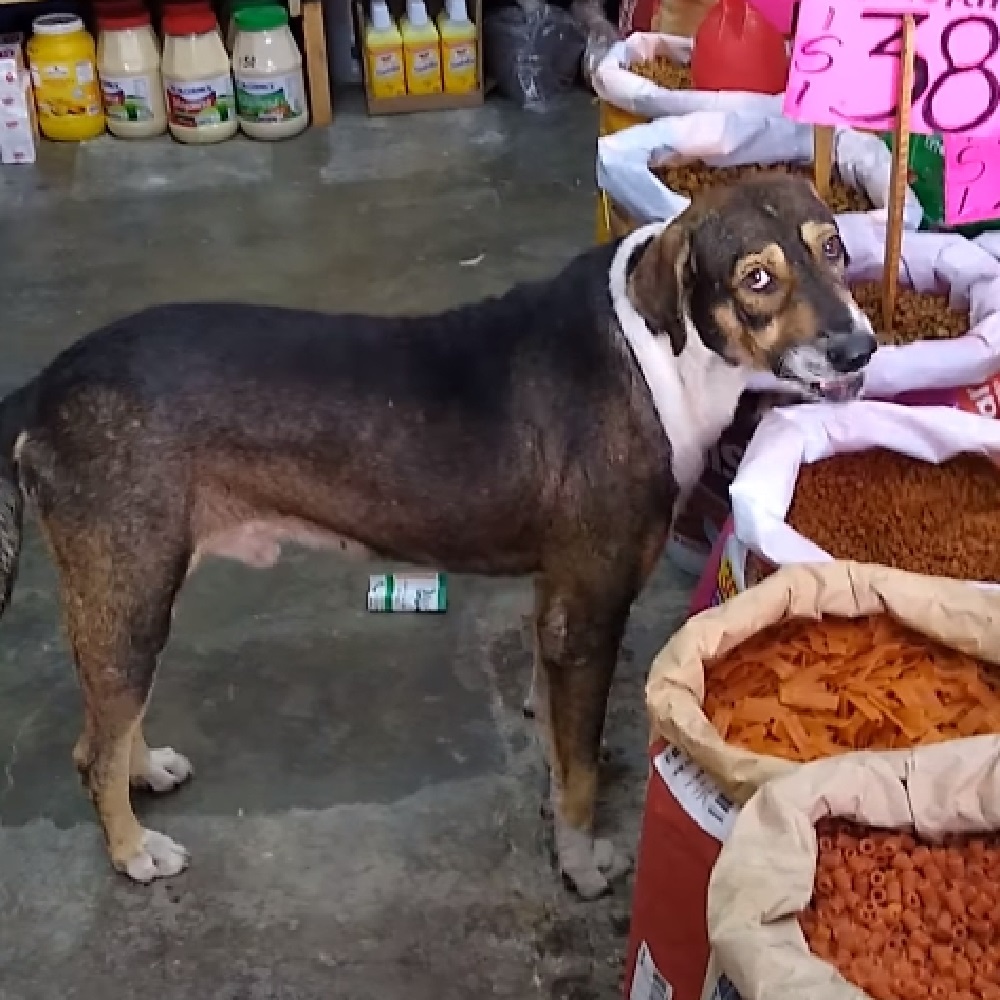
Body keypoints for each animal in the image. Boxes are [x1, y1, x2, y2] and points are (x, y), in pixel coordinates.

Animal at [0, 174, 876, 900]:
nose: (859, 347)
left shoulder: (555, 600)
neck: (664, 351)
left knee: (113, 716)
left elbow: (557, 738)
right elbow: (580, 774)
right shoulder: (590, 616)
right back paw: (132, 850)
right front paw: (581, 864)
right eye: (756, 278)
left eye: (834, 248)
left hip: (130, 591)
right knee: (92, 747)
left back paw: (147, 771)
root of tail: (45, 386)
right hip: (131, 587)